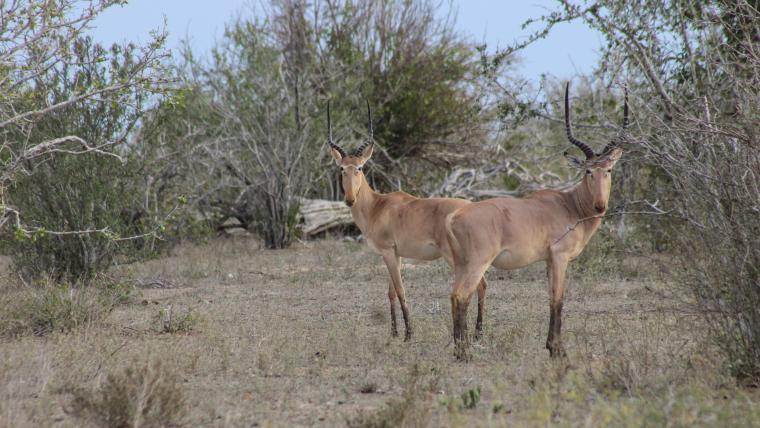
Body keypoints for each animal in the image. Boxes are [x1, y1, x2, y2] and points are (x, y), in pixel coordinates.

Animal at [326, 103, 486, 342]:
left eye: (360, 167)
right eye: (342, 168)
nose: (349, 199)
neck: (377, 206)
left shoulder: (388, 252)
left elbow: (401, 290)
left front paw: (409, 334)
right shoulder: (395, 254)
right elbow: (391, 292)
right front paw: (394, 332)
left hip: (455, 257)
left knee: (478, 285)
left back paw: (475, 333)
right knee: (482, 285)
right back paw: (477, 333)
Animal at [446, 83, 628, 358]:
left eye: (607, 170)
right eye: (588, 170)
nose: (600, 205)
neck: (569, 205)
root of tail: (456, 216)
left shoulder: (549, 261)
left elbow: (551, 298)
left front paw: (552, 347)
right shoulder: (560, 257)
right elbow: (559, 299)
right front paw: (558, 350)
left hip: (461, 264)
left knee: (453, 296)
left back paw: (460, 351)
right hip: (478, 263)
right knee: (461, 296)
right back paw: (464, 353)